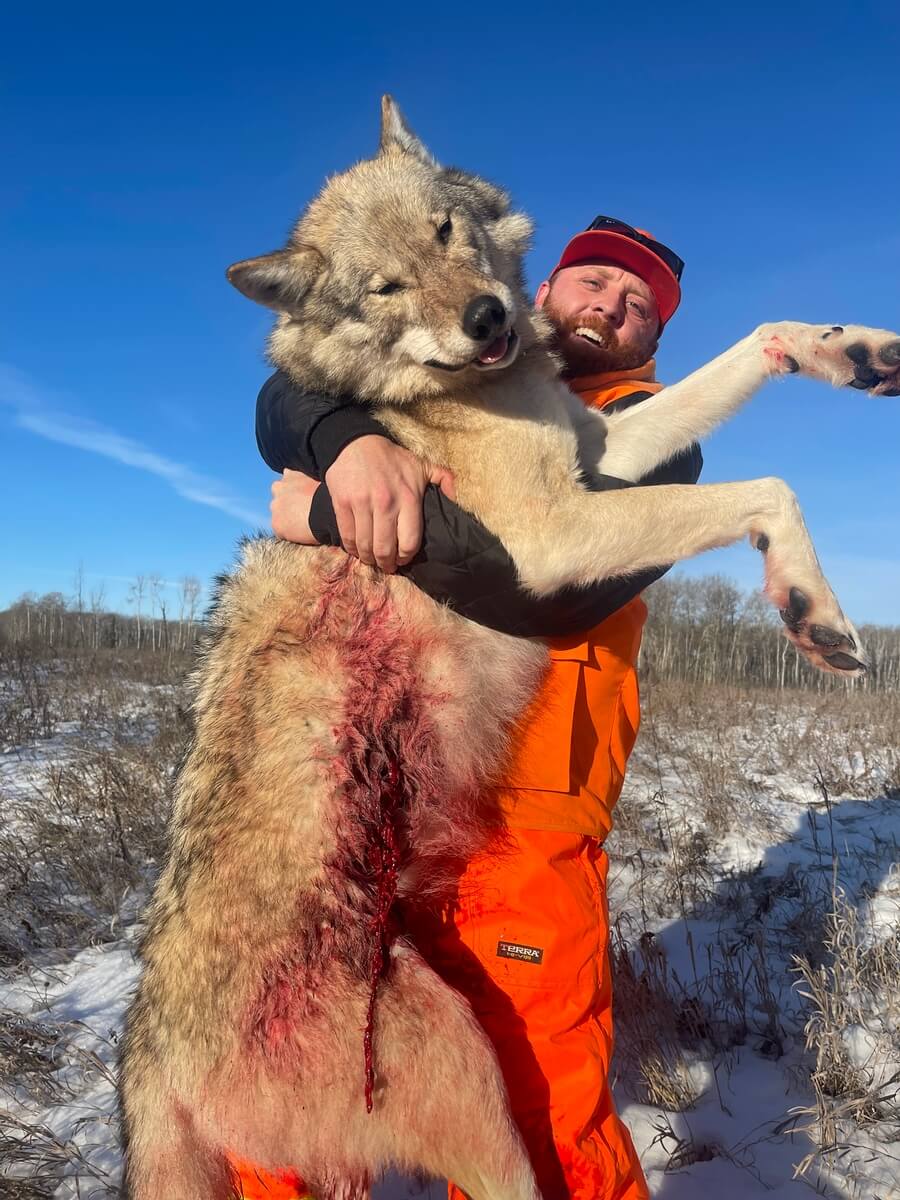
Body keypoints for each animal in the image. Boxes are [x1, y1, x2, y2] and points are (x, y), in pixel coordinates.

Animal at [119, 96, 900, 1200]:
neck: (450, 388)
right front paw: (812, 610)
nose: (488, 318)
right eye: (385, 286)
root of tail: (148, 1068)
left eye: (446, 231)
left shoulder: (602, 452)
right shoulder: (550, 533)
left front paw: (854, 349)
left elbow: (761, 338)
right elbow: (771, 489)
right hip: (473, 1083)